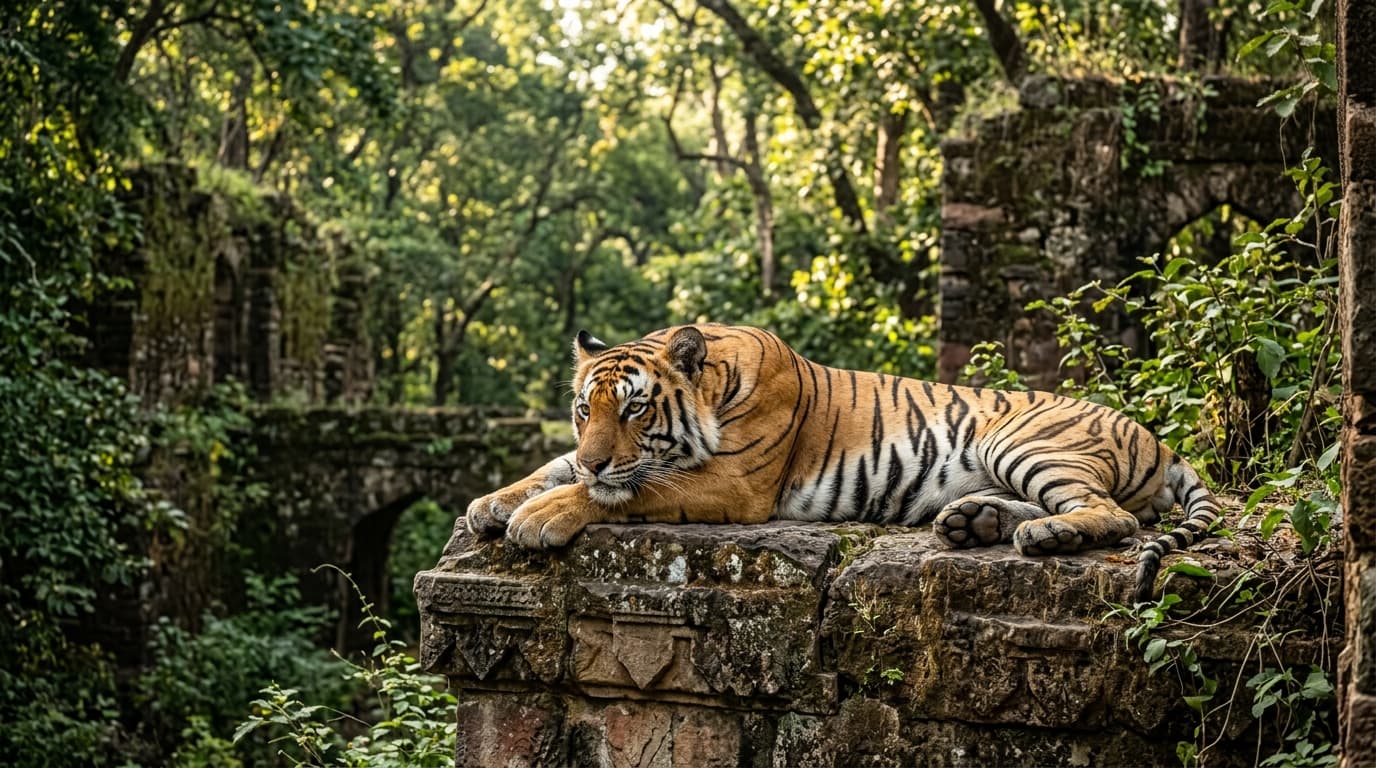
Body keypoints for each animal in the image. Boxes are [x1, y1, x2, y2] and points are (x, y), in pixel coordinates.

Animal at [465, 324, 1219, 603]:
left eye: (634, 410)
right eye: (583, 410)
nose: (598, 458)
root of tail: (1157, 438)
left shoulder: (733, 484)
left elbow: (622, 491)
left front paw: (538, 516)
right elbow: (557, 467)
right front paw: (491, 502)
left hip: (1020, 441)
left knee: (1116, 516)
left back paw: (1040, 535)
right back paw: (973, 522)